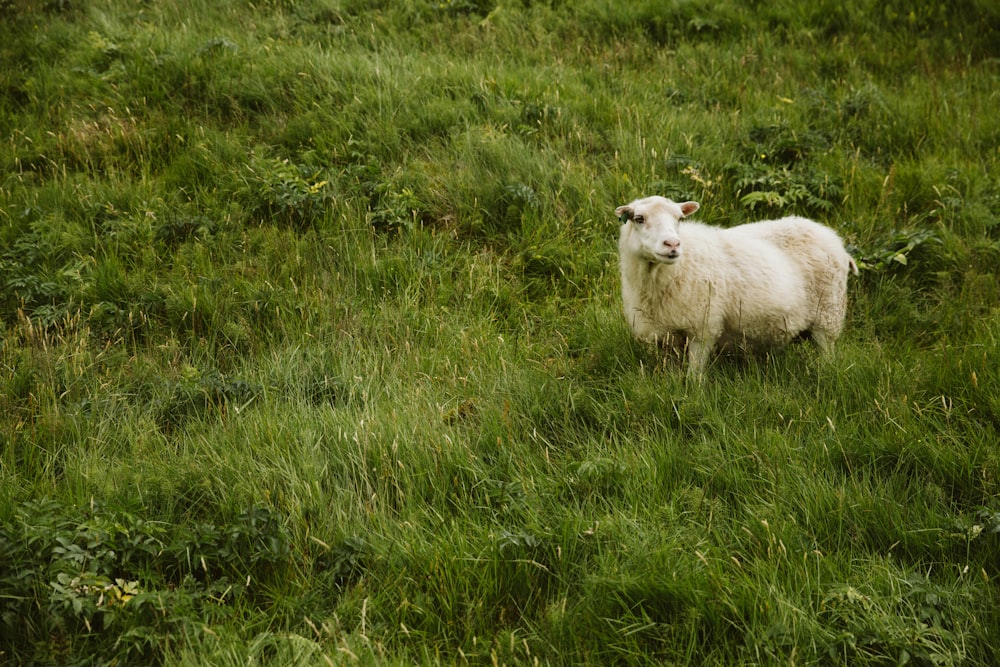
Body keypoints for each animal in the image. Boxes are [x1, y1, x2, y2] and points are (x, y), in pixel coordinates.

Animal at [616, 196, 860, 378]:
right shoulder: (664, 335)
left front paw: (692, 393)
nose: (673, 244)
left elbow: (695, 374)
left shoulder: (703, 327)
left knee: (826, 352)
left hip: (827, 316)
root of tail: (832, 238)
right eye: (639, 218)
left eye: (679, 219)